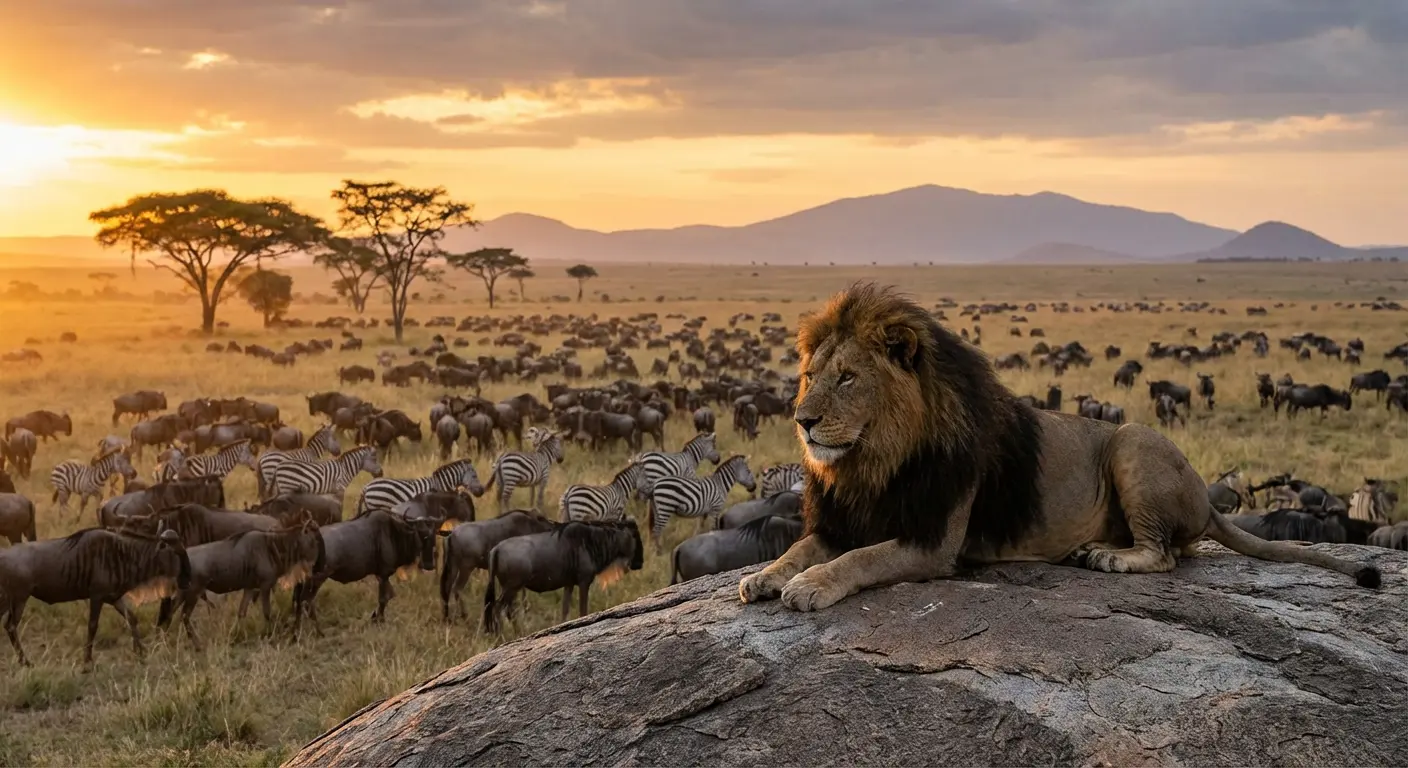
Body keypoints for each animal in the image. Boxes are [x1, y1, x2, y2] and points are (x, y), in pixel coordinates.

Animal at [739, 283, 1380, 612]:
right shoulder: (841, 520)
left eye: (848, 378)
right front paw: (766, 577)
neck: (873, 463)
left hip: (1132, 440)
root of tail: (1207, 498)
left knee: (1166, 555)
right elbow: (800, 548)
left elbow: (860, 560)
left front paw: (809, 587)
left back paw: (1107, 557)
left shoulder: (934, 542)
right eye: (809, 376)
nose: (802, 420)